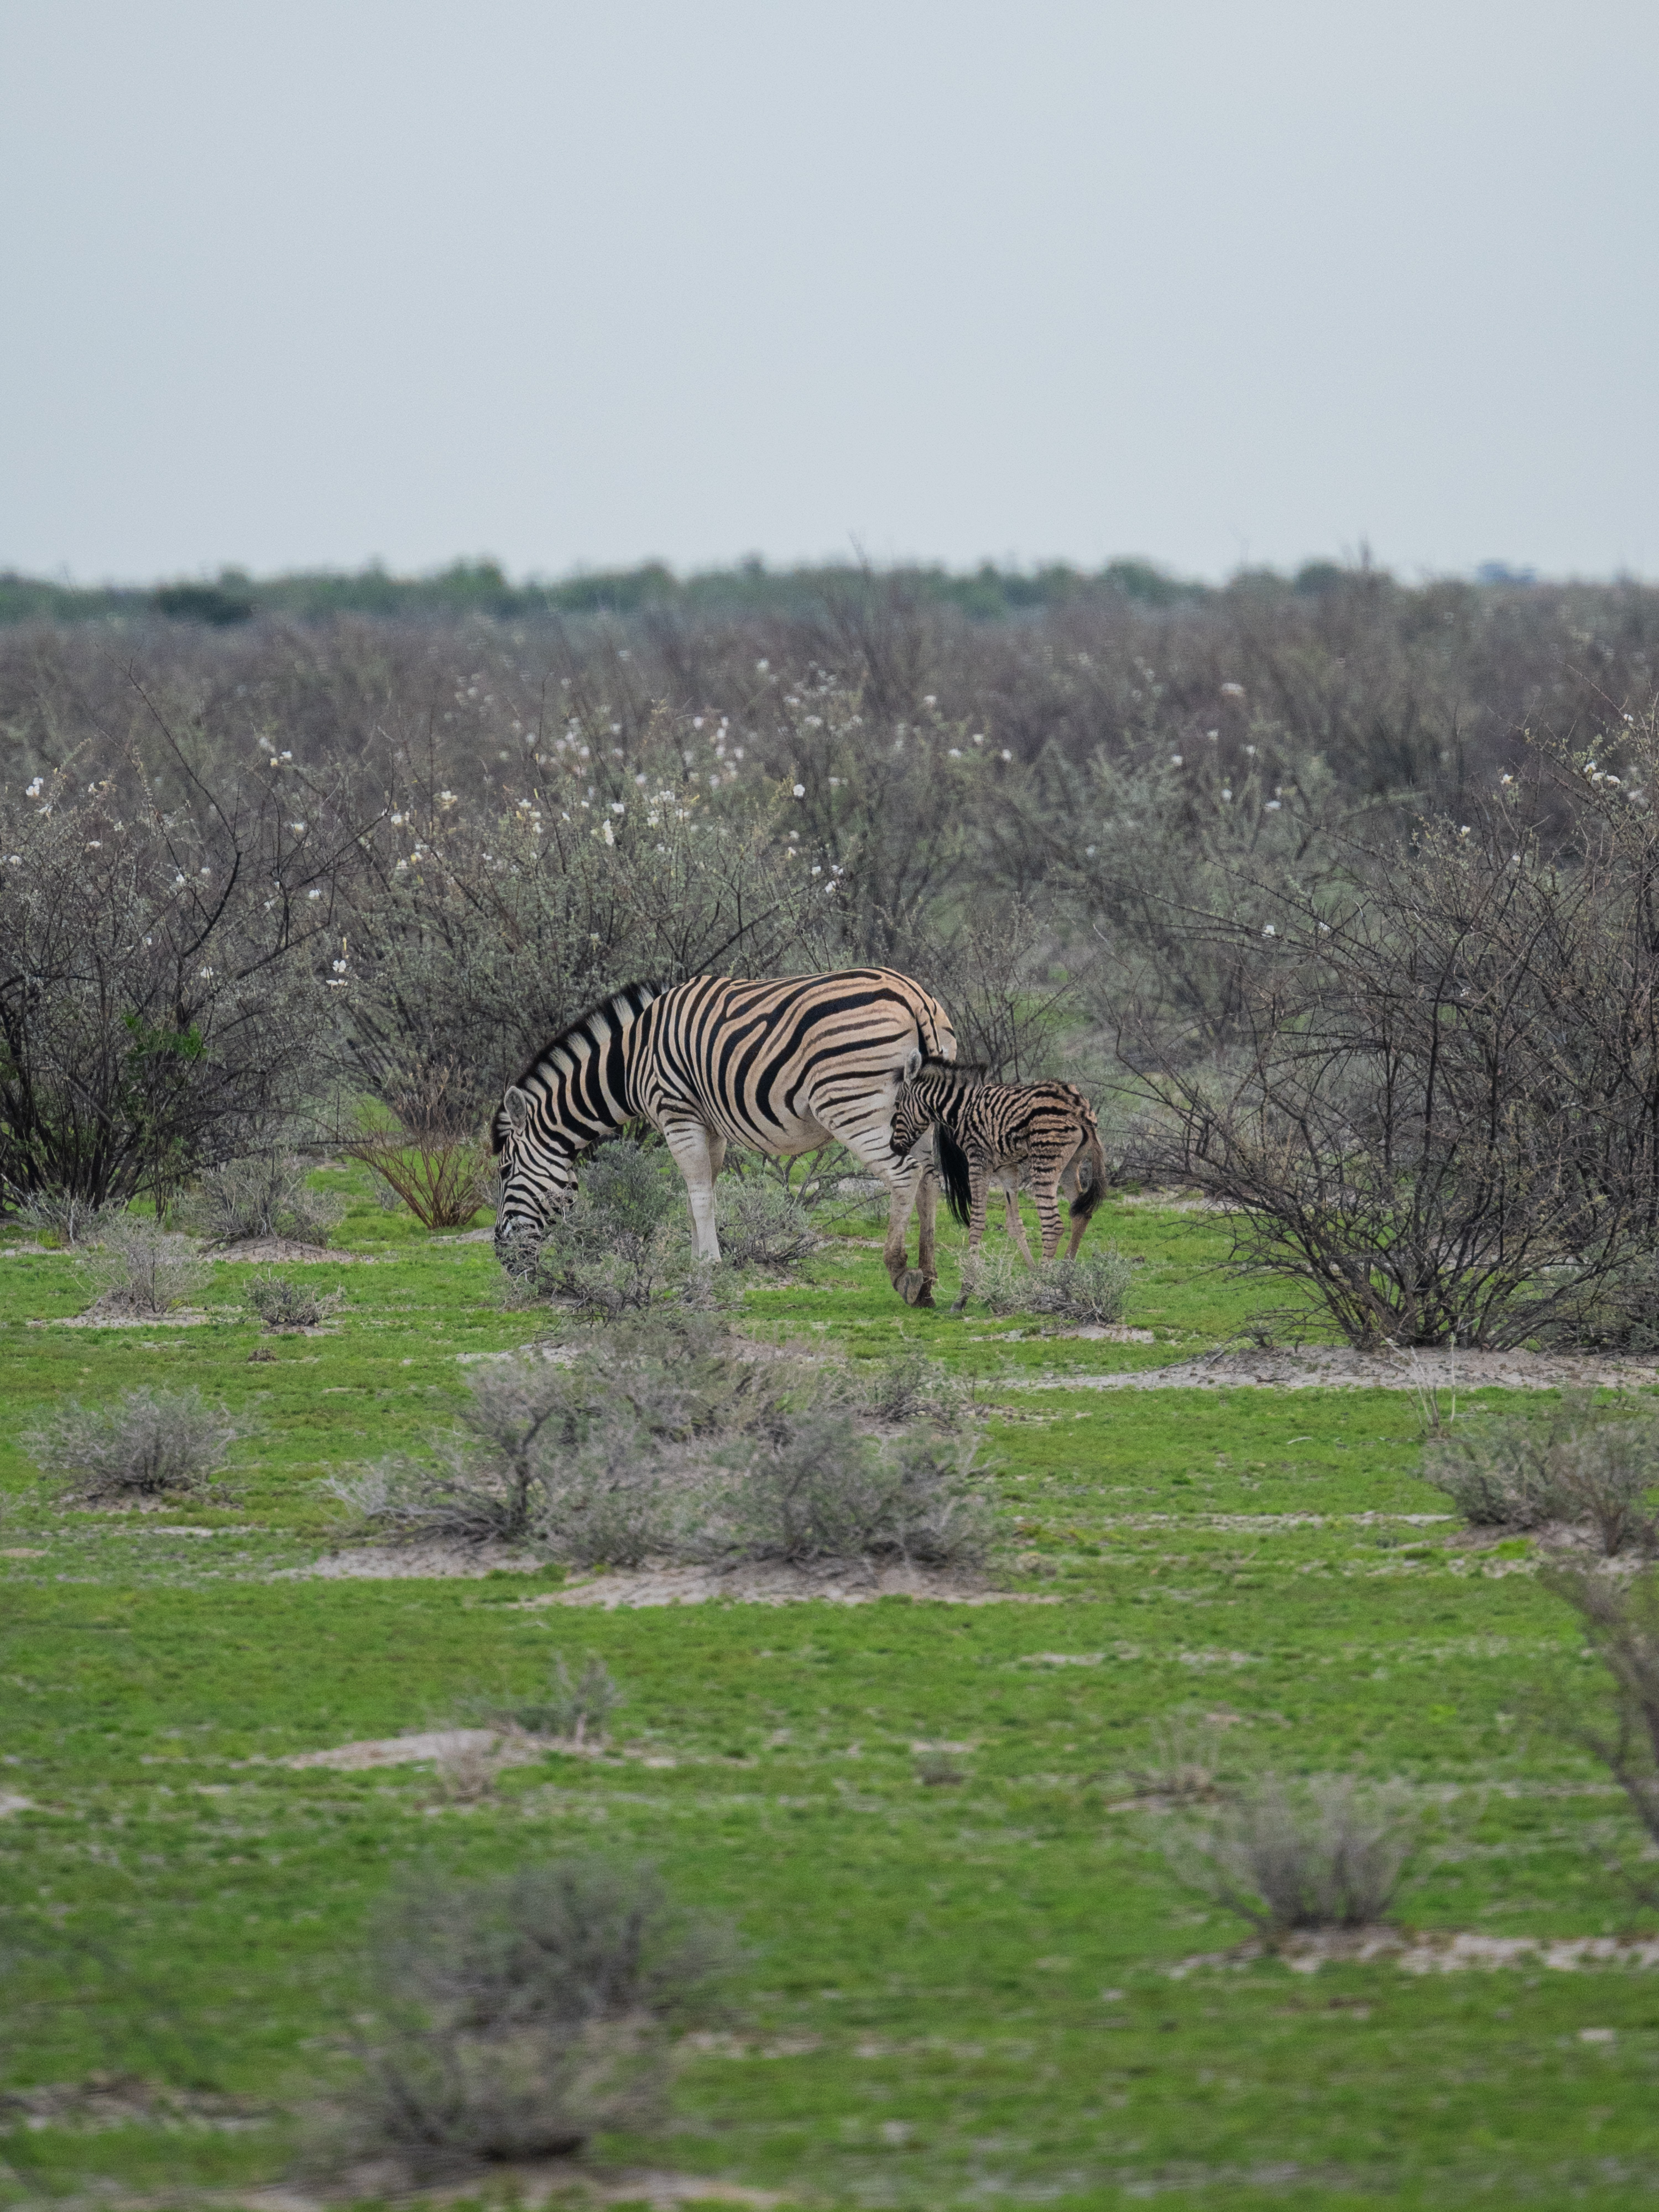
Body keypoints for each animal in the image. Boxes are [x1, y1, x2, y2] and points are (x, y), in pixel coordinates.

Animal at [492, 969, 961, 1305]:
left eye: (505, 1172)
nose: (500, 1257)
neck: (629, 1061)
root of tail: (914, 996)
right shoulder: (709, 1124)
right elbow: (698, 1194)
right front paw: (697, 1264)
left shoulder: (677, 1113)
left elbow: (699, 1193)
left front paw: (708, 1271)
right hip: (916, 1111)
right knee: (928, 1180)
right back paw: (928, 1280)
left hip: (853, 1104)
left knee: (904, 1176)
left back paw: (900, 1272)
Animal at [890, 1060, 1109, 1303]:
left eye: (897, 1104)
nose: (894, 1147)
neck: (962, 1108)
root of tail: (1078, 1107)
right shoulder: (1007, 1168)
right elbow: (1015, 1225)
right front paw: (1032, 1274)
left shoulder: (978, 1161)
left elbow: (977, 1222)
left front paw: (964, 1294)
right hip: (1071, 1165)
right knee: (1081, 1213)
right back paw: (1064, 1280)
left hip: (1044, 1162)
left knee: (1053, 1225)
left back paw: (1046, 1286)